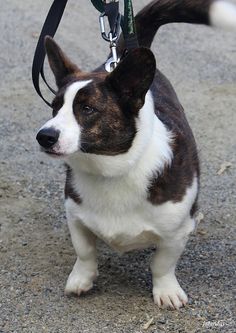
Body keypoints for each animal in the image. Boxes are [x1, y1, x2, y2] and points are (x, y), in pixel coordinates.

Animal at [36, 0, 236, 308]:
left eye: (88, 109)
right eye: (55, 107)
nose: (44, 136)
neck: (111, 168)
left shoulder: (177, 231)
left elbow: (162, 264)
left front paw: (166, 291)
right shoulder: (75, 215)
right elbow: (85, 251)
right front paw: (81, 279)